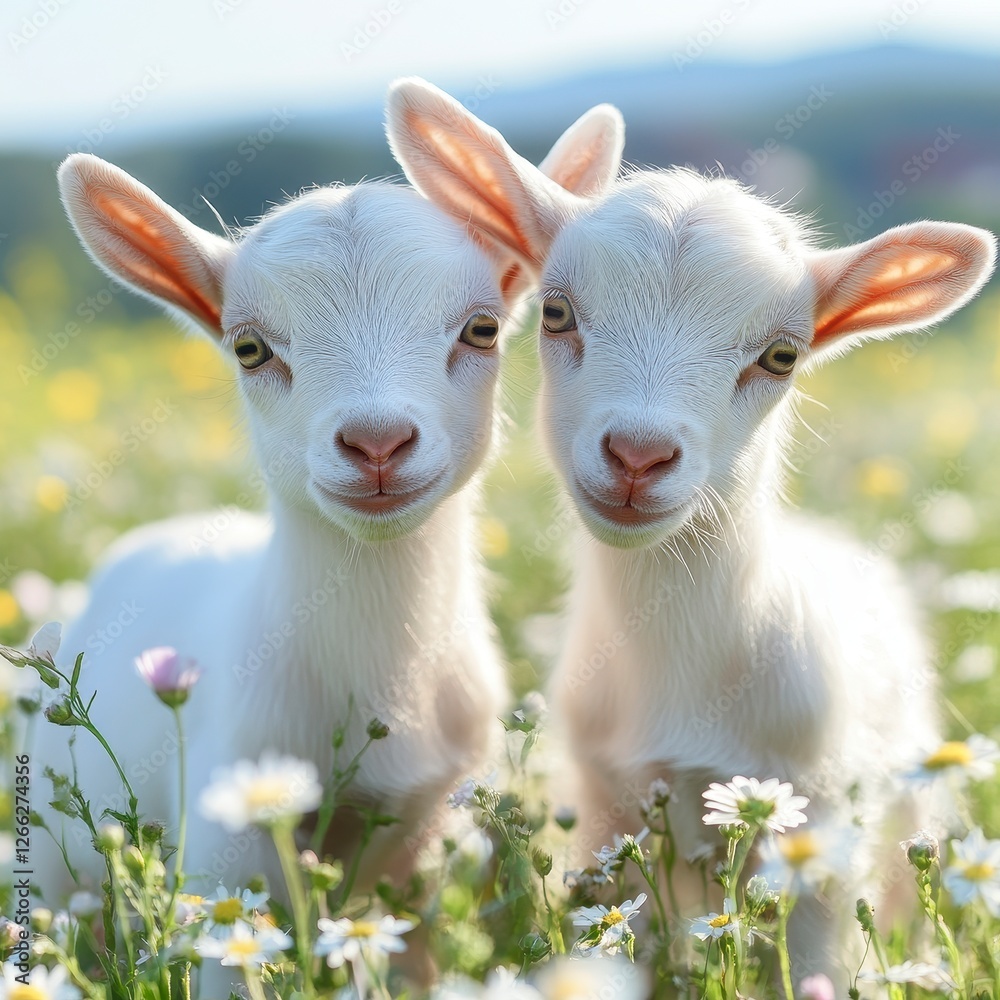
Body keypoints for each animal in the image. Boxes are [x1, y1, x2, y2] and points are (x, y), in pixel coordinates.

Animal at [385, 77, 997, 988]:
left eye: (782, 356)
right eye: (556, 311)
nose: (639, 456)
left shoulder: (817, 818)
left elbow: (812, 962)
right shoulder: (611, 811)